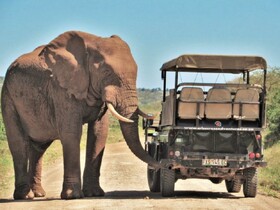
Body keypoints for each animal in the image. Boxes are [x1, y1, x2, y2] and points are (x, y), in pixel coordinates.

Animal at [1, 30, 161, 199]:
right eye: (106, 72)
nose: (165, 165)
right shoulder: (61, 88)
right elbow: (71, 133)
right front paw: (73, 196)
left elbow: (99, 133)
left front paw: (94, 194)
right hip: (8, 97)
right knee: (18, 144)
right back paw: (24, 196)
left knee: (39, 147)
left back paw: (38, 193)